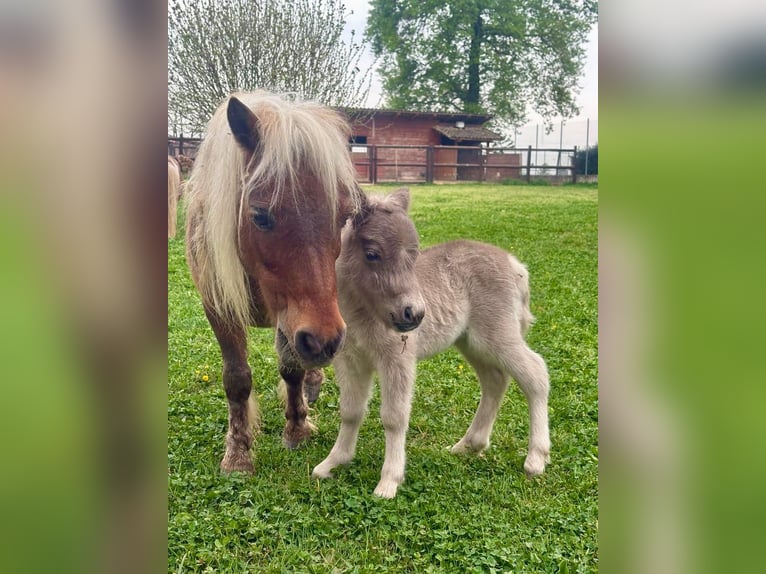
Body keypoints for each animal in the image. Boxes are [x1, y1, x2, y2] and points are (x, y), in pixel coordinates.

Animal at [184, 91, 363, 473]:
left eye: (344, 216)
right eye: (260, 216)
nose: (325, 341)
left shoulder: (295, 317)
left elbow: (291, 368)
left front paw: (296, 427)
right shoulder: (220, 308)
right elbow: (237, 378)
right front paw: (238, 452)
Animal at [312, 188, 551, 497]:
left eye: (414, 255)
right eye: (372, 254)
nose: (413, 314)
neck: (360, 313)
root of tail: (515, 265)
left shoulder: (397, 358)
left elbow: (394, 416)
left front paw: (388, 482)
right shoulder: (350, 359)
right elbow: (351, 411)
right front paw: (332, 463)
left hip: (498, 334)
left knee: (535, 373)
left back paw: (535, 459)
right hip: (471, 342)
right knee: (495, 380)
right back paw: (469, 445)